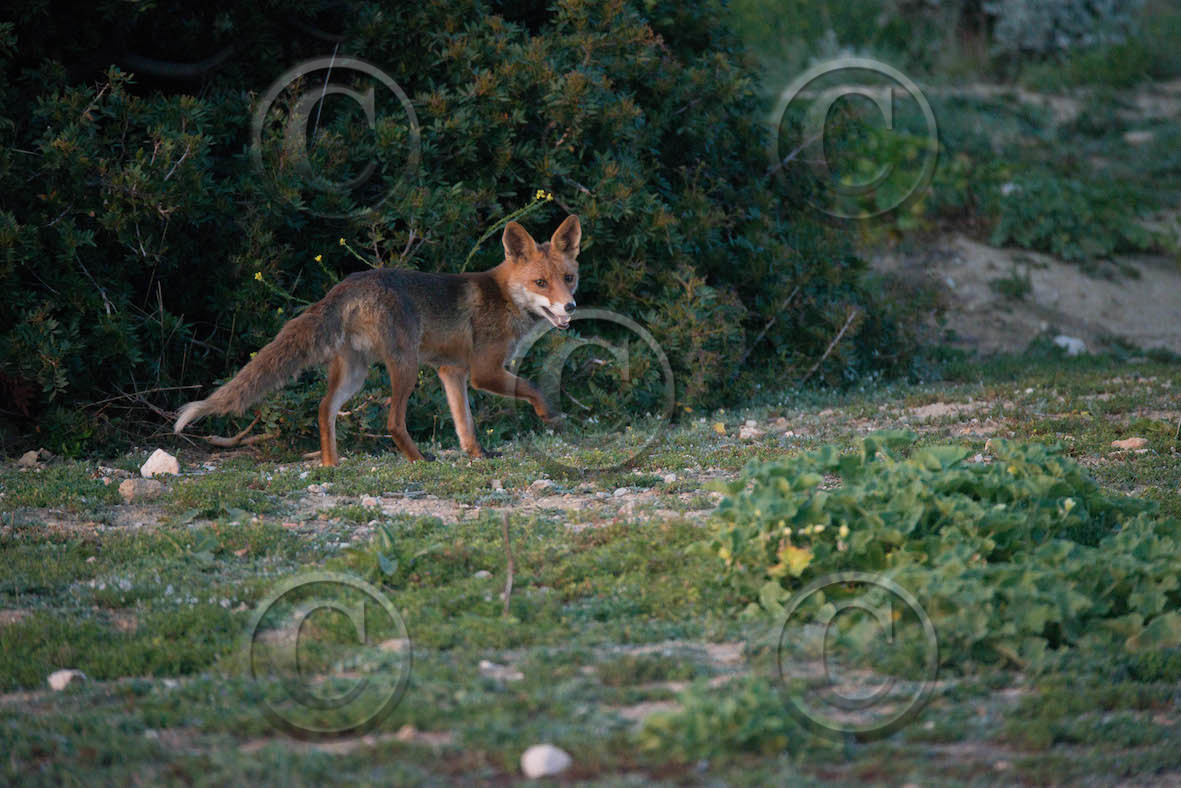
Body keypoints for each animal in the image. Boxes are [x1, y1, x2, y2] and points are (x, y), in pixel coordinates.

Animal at [174, 215, 581, 466]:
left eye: (569, 278)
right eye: (540, 283)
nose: (571, 306)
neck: (504, 297)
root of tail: (347, 284)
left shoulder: (451, 371)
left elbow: (464, 424)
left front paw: (477, 455)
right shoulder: (484, 371)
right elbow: (531, 388)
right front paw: (549, 415)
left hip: (355, 372)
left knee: (325, 408)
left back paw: (330, 464)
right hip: (406, 366)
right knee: (392, 422)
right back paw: (419, 461)